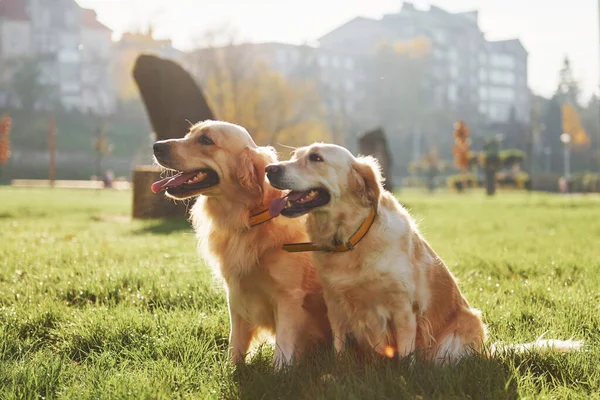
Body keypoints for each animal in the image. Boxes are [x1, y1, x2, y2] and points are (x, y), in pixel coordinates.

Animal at [150, 121, 328, 368]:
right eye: (189, 134)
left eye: (206, 140)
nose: (156, 146)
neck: (247, 219)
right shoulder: (235, 292)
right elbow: (236, 341)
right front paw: (231, 368)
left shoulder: (289, 296)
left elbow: (283, 345)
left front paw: (280, 372)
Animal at [266, 143, 580, 362]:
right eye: (296, 155)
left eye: (316, 158)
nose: (271, 169)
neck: (350, 240)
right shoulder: (336, 305)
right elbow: (340, 348)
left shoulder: (403, 309)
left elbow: (405, 356)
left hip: (463, 329)